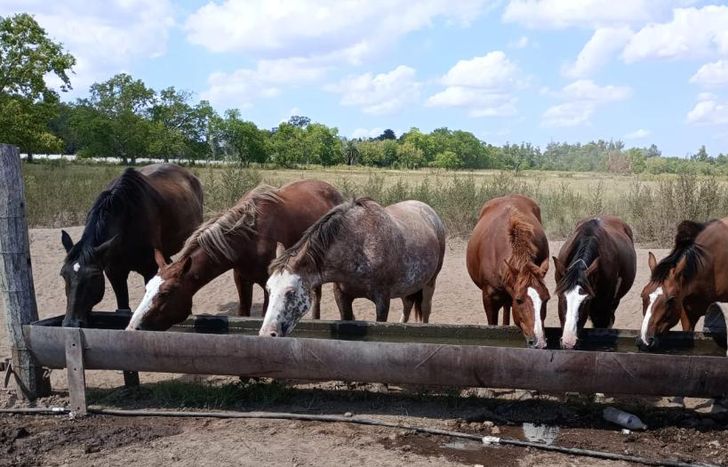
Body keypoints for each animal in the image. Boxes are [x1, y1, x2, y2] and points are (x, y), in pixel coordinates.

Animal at [60, 164, 203, 327]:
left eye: (93, 277)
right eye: (63, 275)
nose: (71, 323)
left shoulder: (149, 269)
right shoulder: (114, 272)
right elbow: (123, 308)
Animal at [126, 180, 344, 331]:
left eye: (165, 293)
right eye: (147, 288)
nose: (133, 326)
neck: (250, 237)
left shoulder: (269, 285)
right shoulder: (241, 279)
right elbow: (243, 313)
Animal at [258, 198, 446, 337]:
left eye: (291, 292)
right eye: (268, 289)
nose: (267, 333)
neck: (360, 246)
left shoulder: (382, 300)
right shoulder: (342, 297)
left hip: (430, 283)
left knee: (426, 310)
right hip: (408, 287)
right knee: (407, 307)